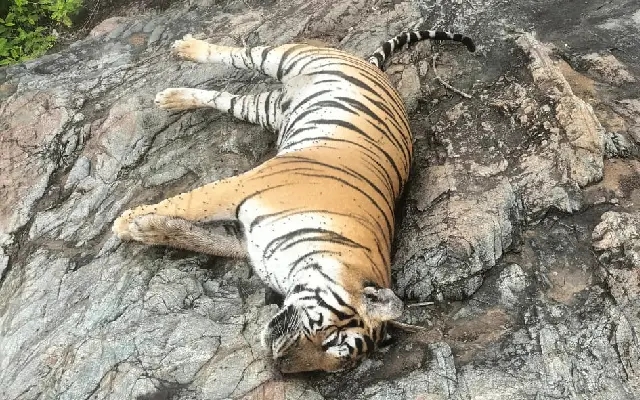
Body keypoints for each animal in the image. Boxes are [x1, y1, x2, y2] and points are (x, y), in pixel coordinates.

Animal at [112, 29, 475, 373]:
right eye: (331, 338)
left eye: (333, 359)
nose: (279, 363)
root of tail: (373, 68)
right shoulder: (239, 188)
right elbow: (187, 203)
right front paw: (124, 222)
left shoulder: (244, 241)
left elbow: (196, 237)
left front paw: (145, 228)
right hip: (285, 57)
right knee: (237, 54)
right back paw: (186, 49)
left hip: (264, 109)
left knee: (224, 98)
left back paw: (172, 99)